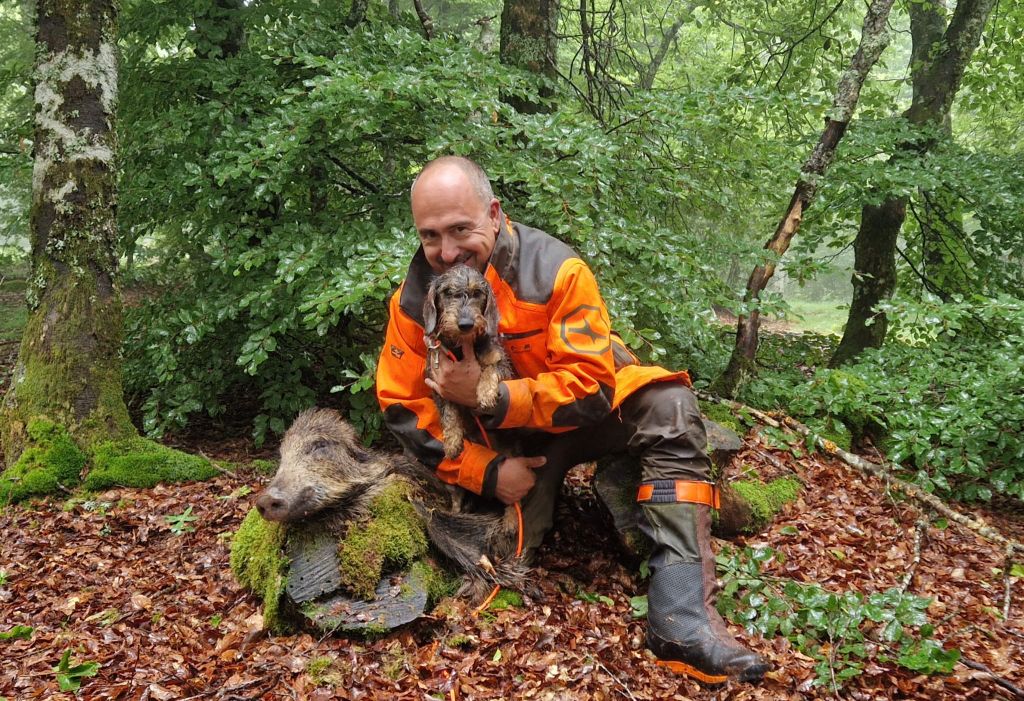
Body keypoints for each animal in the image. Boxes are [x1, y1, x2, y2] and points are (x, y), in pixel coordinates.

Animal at [421, 261, 509, 458]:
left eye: (477, 293)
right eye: (447, 291)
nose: (465, 324)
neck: (460, 347)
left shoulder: (504, 365)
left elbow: (491, 368)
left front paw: (486, 393)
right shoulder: (437, 386)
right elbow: (448, 413)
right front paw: (452, 441)